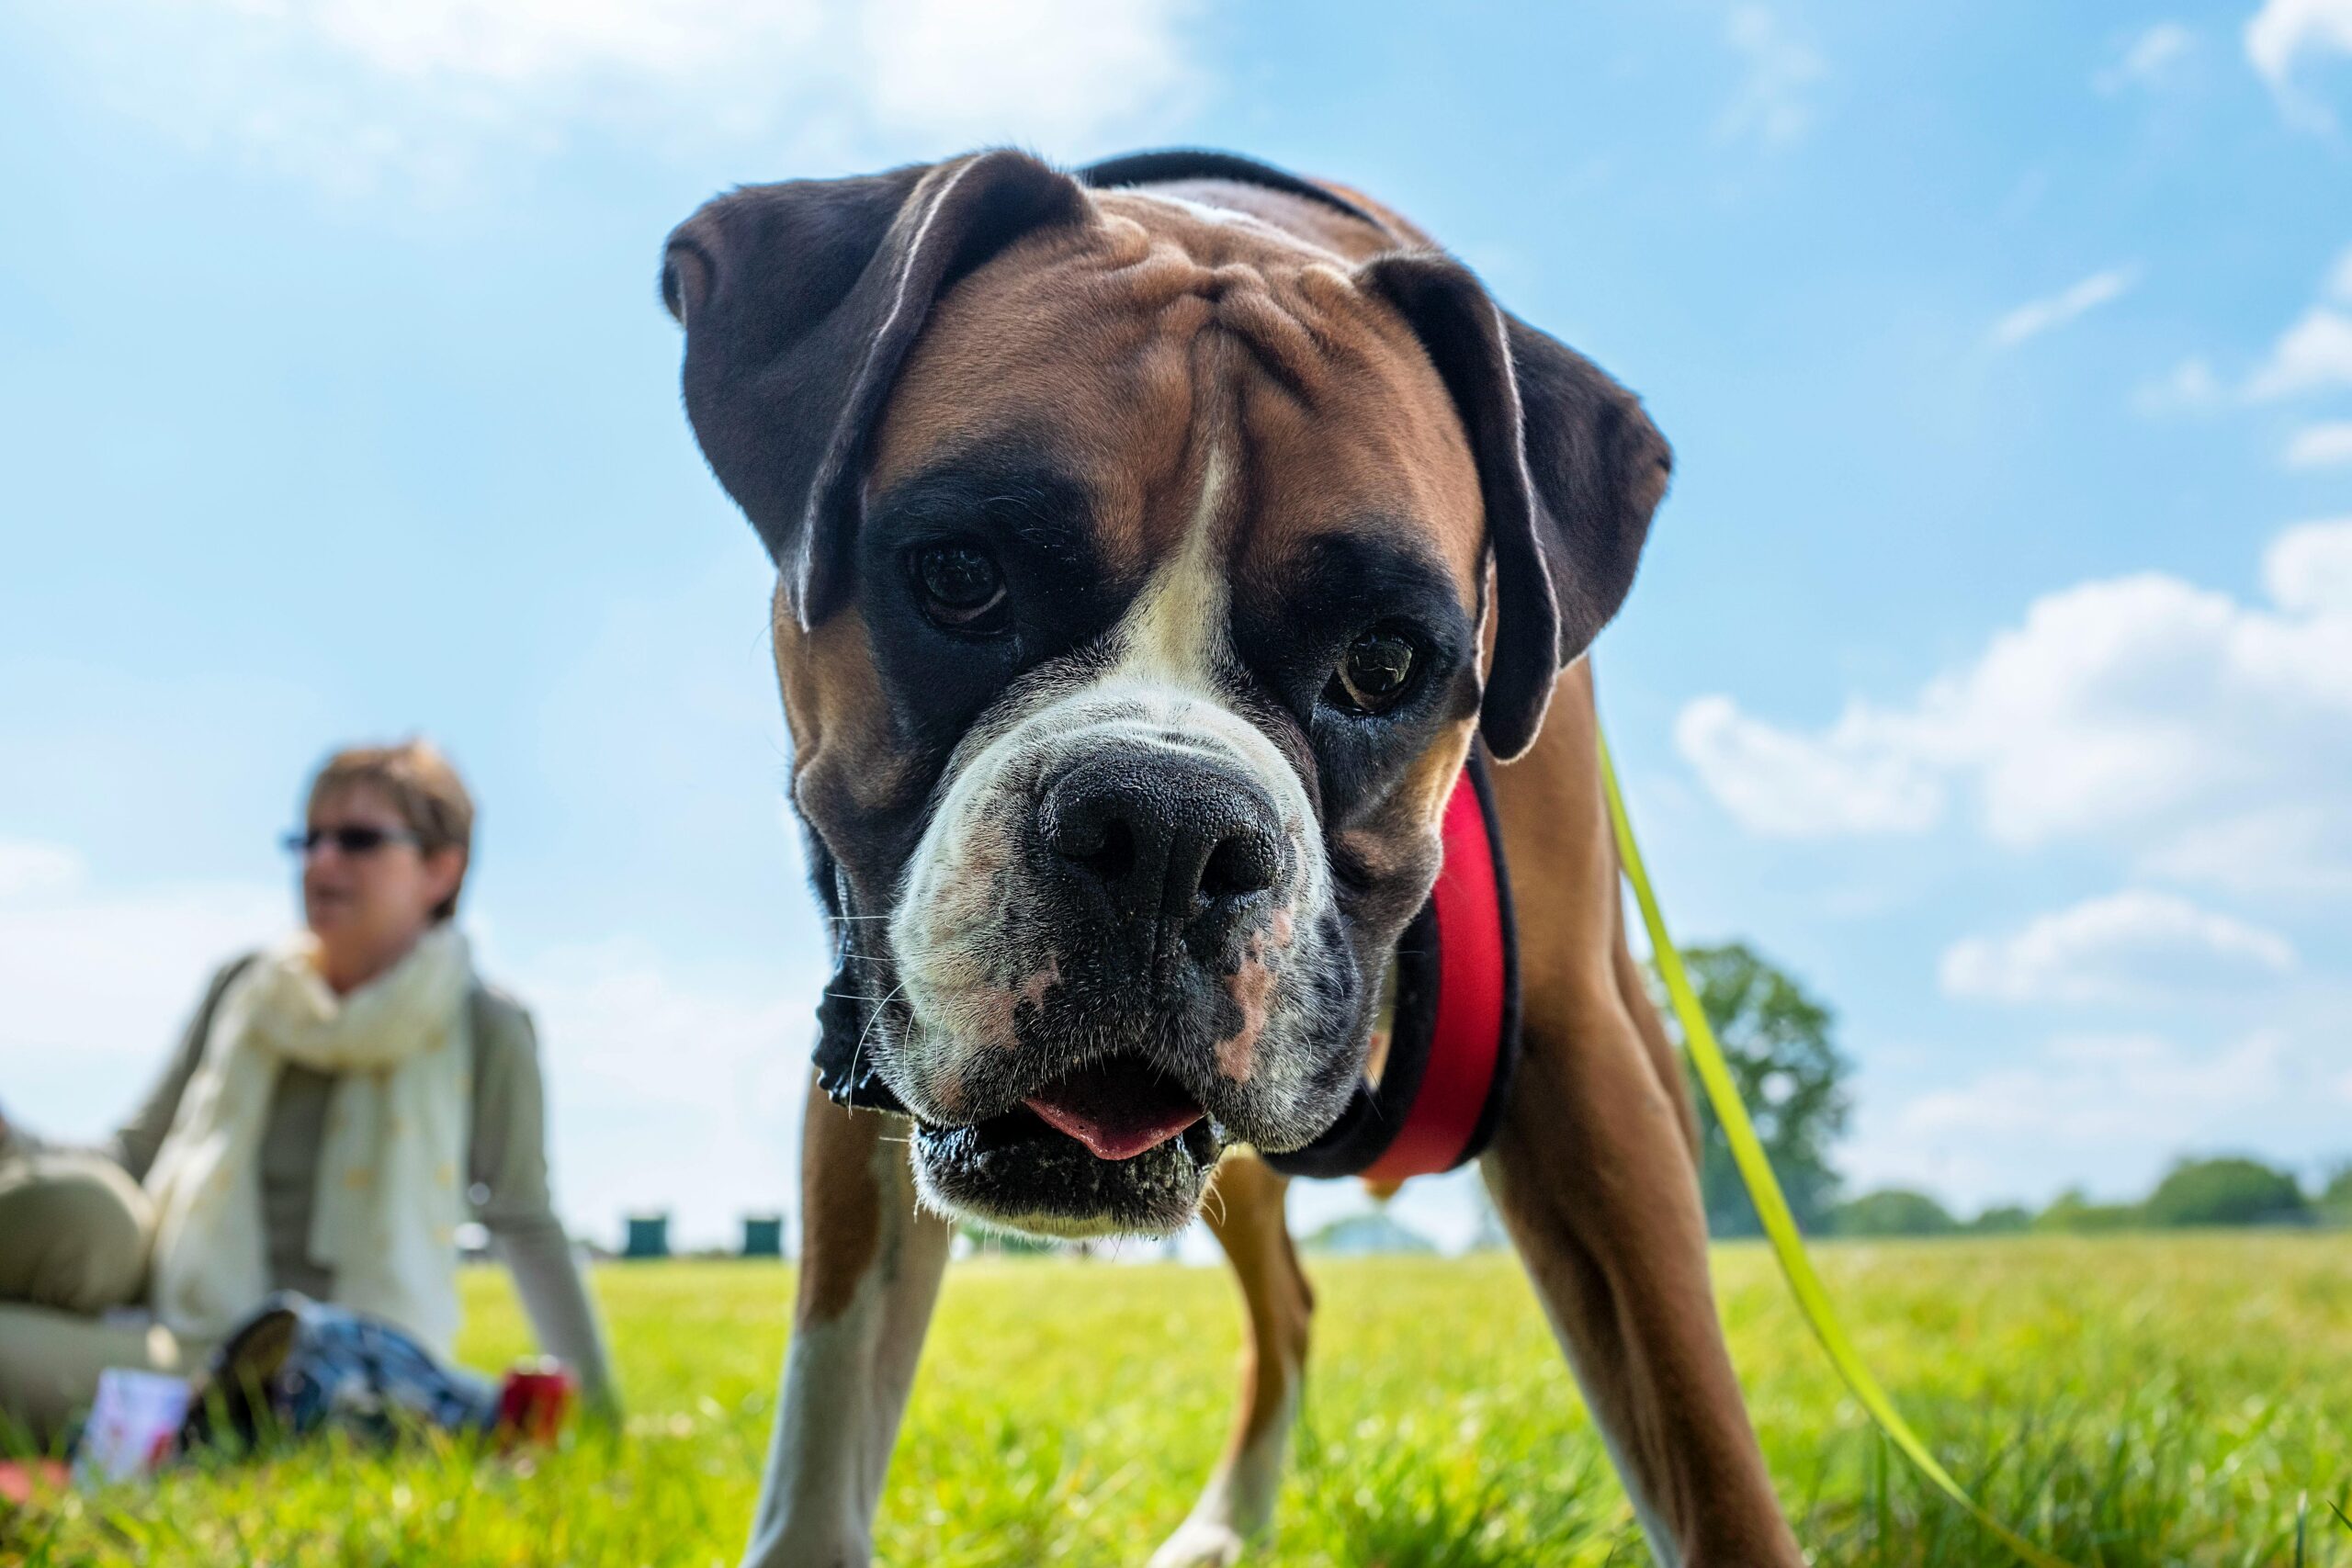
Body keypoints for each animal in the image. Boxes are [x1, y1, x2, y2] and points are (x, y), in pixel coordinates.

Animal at [662, 146, 1796, 1568]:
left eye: (1385, 662)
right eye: (962, 576)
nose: (1164, 827)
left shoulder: (1579, 1078)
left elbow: (1711, 1465)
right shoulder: (866, 1029)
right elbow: (824, 1427)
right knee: (1291, 1299)